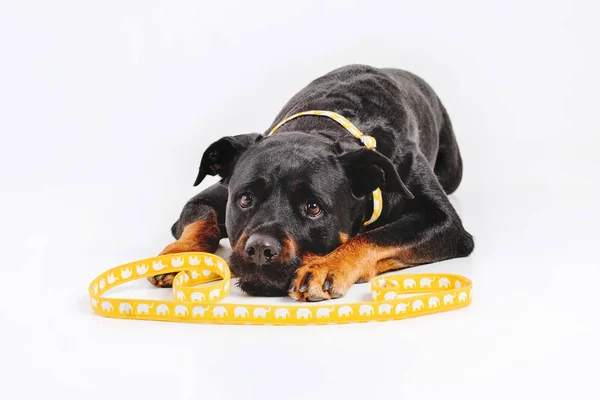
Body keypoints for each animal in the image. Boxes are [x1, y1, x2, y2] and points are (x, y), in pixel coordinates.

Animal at [149, 64, 474, 302]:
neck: (320, 128)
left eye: (313, 208)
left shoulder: (443, 221)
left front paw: (325, 266)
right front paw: (182, 255)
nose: (260, 249)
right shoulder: (209, 196)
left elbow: (376, 236)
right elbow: (202, 222)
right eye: (245, 199)